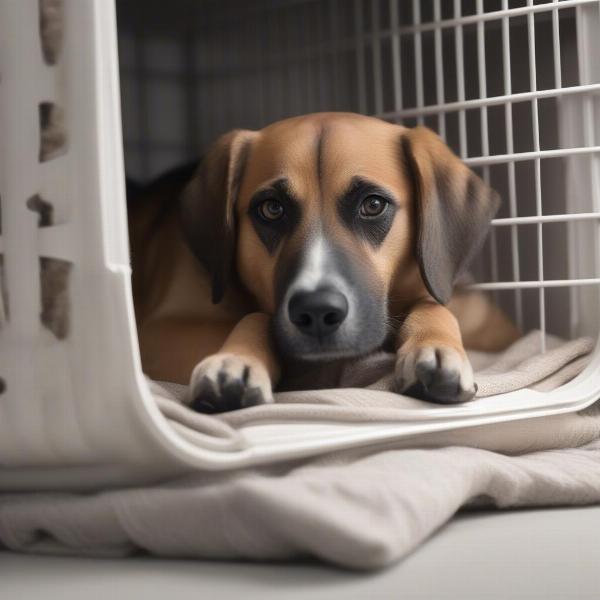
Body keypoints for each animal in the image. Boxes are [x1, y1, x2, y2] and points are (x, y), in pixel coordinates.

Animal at [129, 111, 516, 412]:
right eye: (271, 209)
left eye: (373, 204)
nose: (316, 311)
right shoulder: (157, 336)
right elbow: (257, 318)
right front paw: (236, 360)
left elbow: (433, 305)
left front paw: (436, 347)